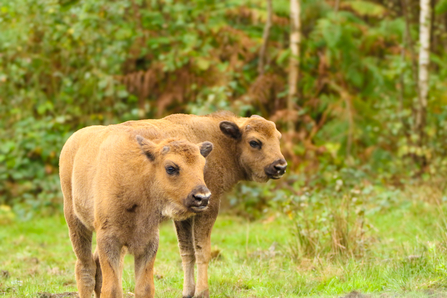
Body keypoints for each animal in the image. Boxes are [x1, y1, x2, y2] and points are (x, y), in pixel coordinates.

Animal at [59, 125, 215, 298]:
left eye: (202, 166)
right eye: (170, 168)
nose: (203, 197)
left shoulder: (148, 242)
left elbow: (144, 287)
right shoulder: (108, 239)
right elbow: (111, 288)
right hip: (75, 222)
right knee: (85, 269)